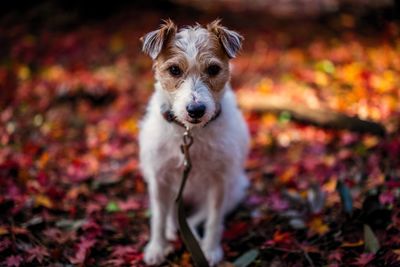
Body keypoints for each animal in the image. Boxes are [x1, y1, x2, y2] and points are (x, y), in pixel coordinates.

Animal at [139, 19, 248, 266]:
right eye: (174, 70)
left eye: (213, 69)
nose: (196, 110)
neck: (190, 132)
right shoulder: (158, 179)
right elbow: (158, 217)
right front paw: (157, 247)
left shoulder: (219, 181)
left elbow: (214, 218)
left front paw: (210, 249)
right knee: (171, 212)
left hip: (235, 190)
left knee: (199, 215)